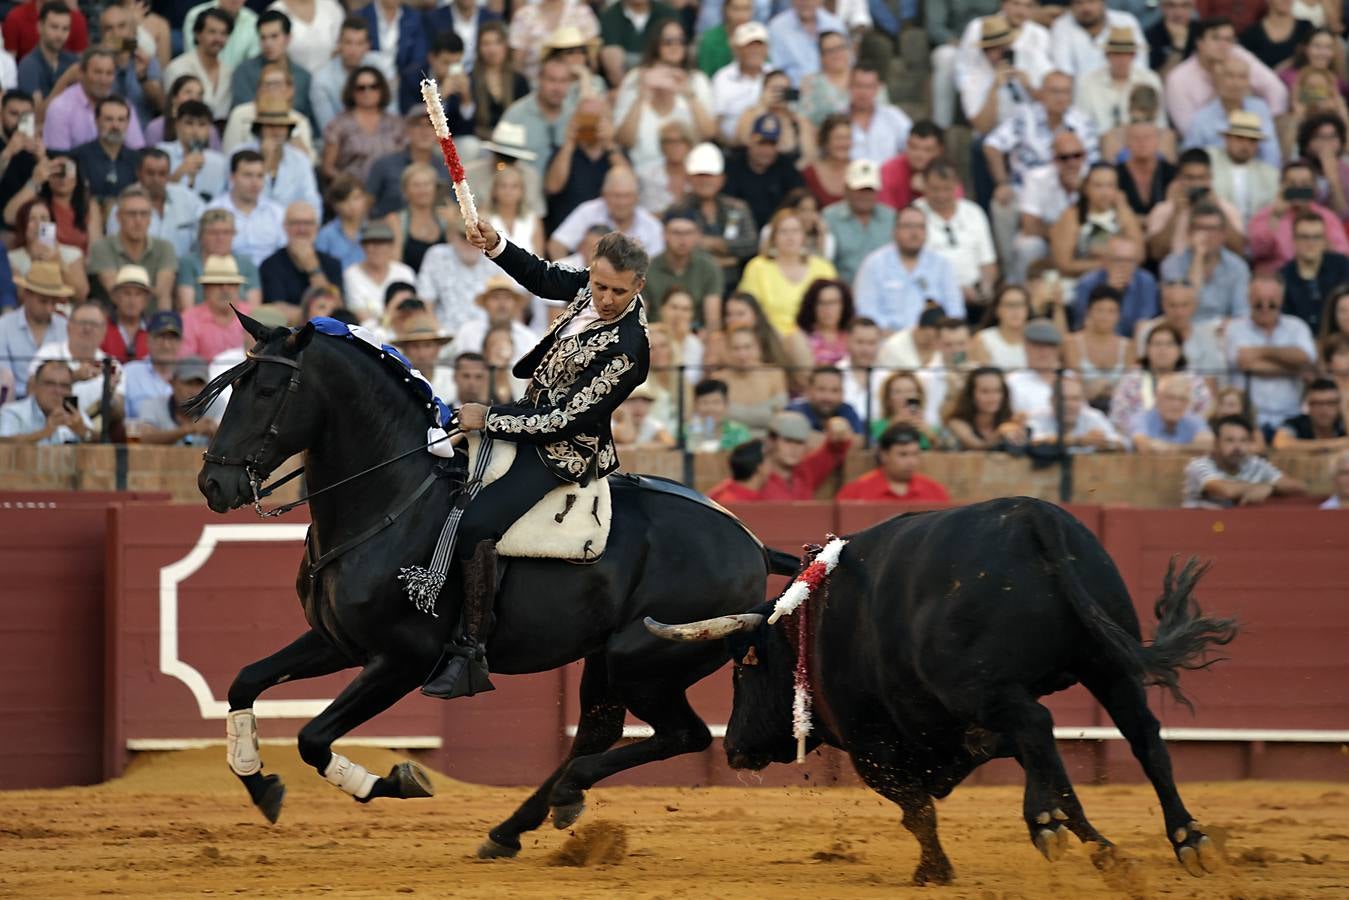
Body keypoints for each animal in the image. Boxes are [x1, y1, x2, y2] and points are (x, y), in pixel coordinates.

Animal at [195, 315, 793, 858]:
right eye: (236, 385)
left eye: (267, 390)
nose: (213, 483)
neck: (395, 498)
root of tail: (754, 545)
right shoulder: (336, 642)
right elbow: (245, 682)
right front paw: (258, 782)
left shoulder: (401, 660)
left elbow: (312, 737)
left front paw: (400, 781)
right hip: (608, 660)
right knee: (599, 731)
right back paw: (517, 826)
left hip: (642, 661)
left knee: (684, 735)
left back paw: (564, 794)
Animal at [647, 496, 1235, 885]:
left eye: (741, 669)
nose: (732, 747)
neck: (807, 628)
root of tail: (1032, 517)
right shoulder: (967, 735)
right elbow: (1058, 780)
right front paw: (1105, 851)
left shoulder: (872, 745)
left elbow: (915, 808)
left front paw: (934, 870)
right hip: (1108, 668)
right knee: (1143, 738)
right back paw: (1190, 839)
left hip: (986, 687)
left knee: (1041, 725)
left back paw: (1043, 826)